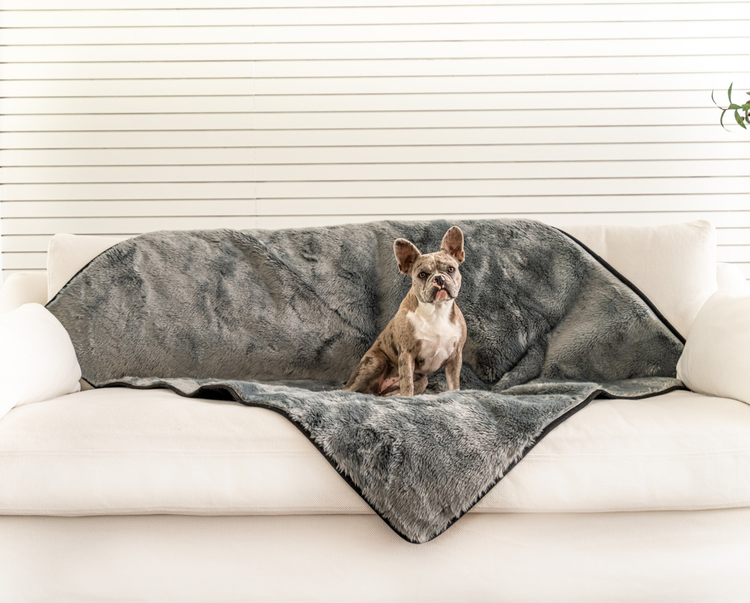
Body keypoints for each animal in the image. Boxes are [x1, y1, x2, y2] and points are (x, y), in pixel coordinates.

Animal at [346, 226, 468, 396]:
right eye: (422, 274)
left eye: (451, 269)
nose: (439, 278)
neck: (436, 311)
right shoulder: (407, 353)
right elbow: (407, 382)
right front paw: (407, 398)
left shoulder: (455, 356)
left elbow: (454, 383)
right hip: (375, 362)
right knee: (348, 388)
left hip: (423, 381)